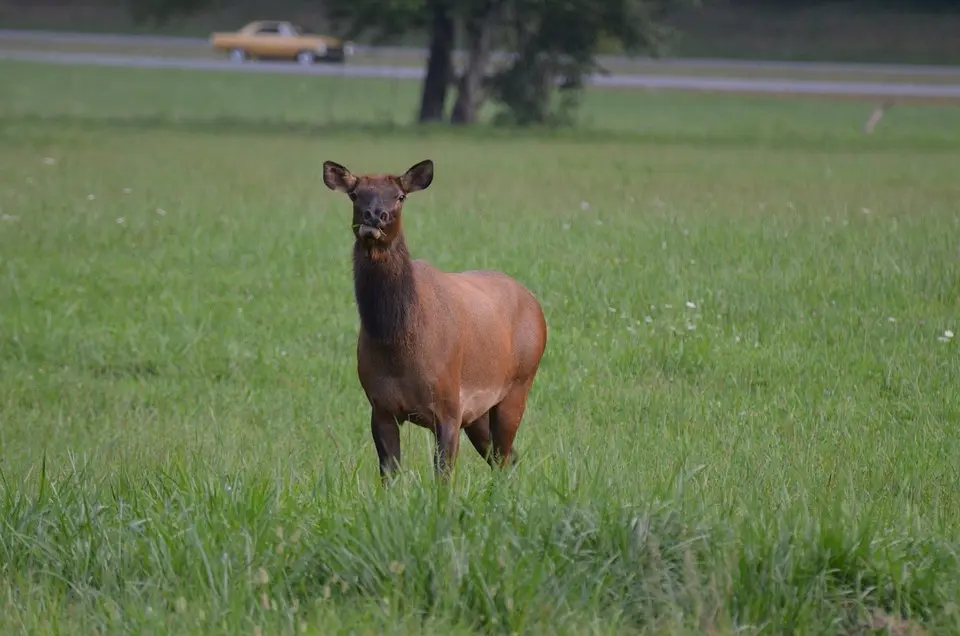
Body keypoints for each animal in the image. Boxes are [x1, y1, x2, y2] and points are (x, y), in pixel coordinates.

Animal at [322, 159, 548, 482]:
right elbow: (390, 476)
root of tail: (536, 305)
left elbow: (443, 478)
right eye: (355, 194)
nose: (375, 216)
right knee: (506, 458)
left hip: (519, 384)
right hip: (480, 412)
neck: (397, 348)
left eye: (400, 196)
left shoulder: (449, 406)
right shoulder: (380, 407)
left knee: (504, 457)